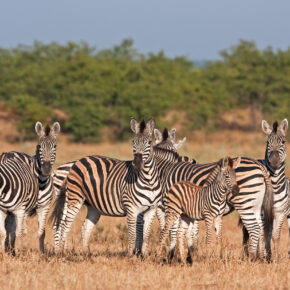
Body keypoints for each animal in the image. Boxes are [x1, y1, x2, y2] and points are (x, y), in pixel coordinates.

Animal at [3, 121, 60, 253]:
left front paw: (41, 253)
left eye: (54, 146)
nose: (46, 169)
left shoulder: (44, 207)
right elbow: (23, 231)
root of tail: (10, 152)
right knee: (13, 228)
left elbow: (42, 232)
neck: (41, 183)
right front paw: (23, 250)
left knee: (10, 225)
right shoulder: (24, 208)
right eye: (39, 146)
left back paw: (10, 249)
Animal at [241, 119, 288, 260]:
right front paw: (260, 256)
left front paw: (275, 258)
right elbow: (262, 233)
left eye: (283, 142)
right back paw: (250, 253)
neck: (275, 185)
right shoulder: (262, 212)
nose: (274, 159)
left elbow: (275, 236)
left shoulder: (280, 212)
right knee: (248, 231)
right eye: (268, 142)